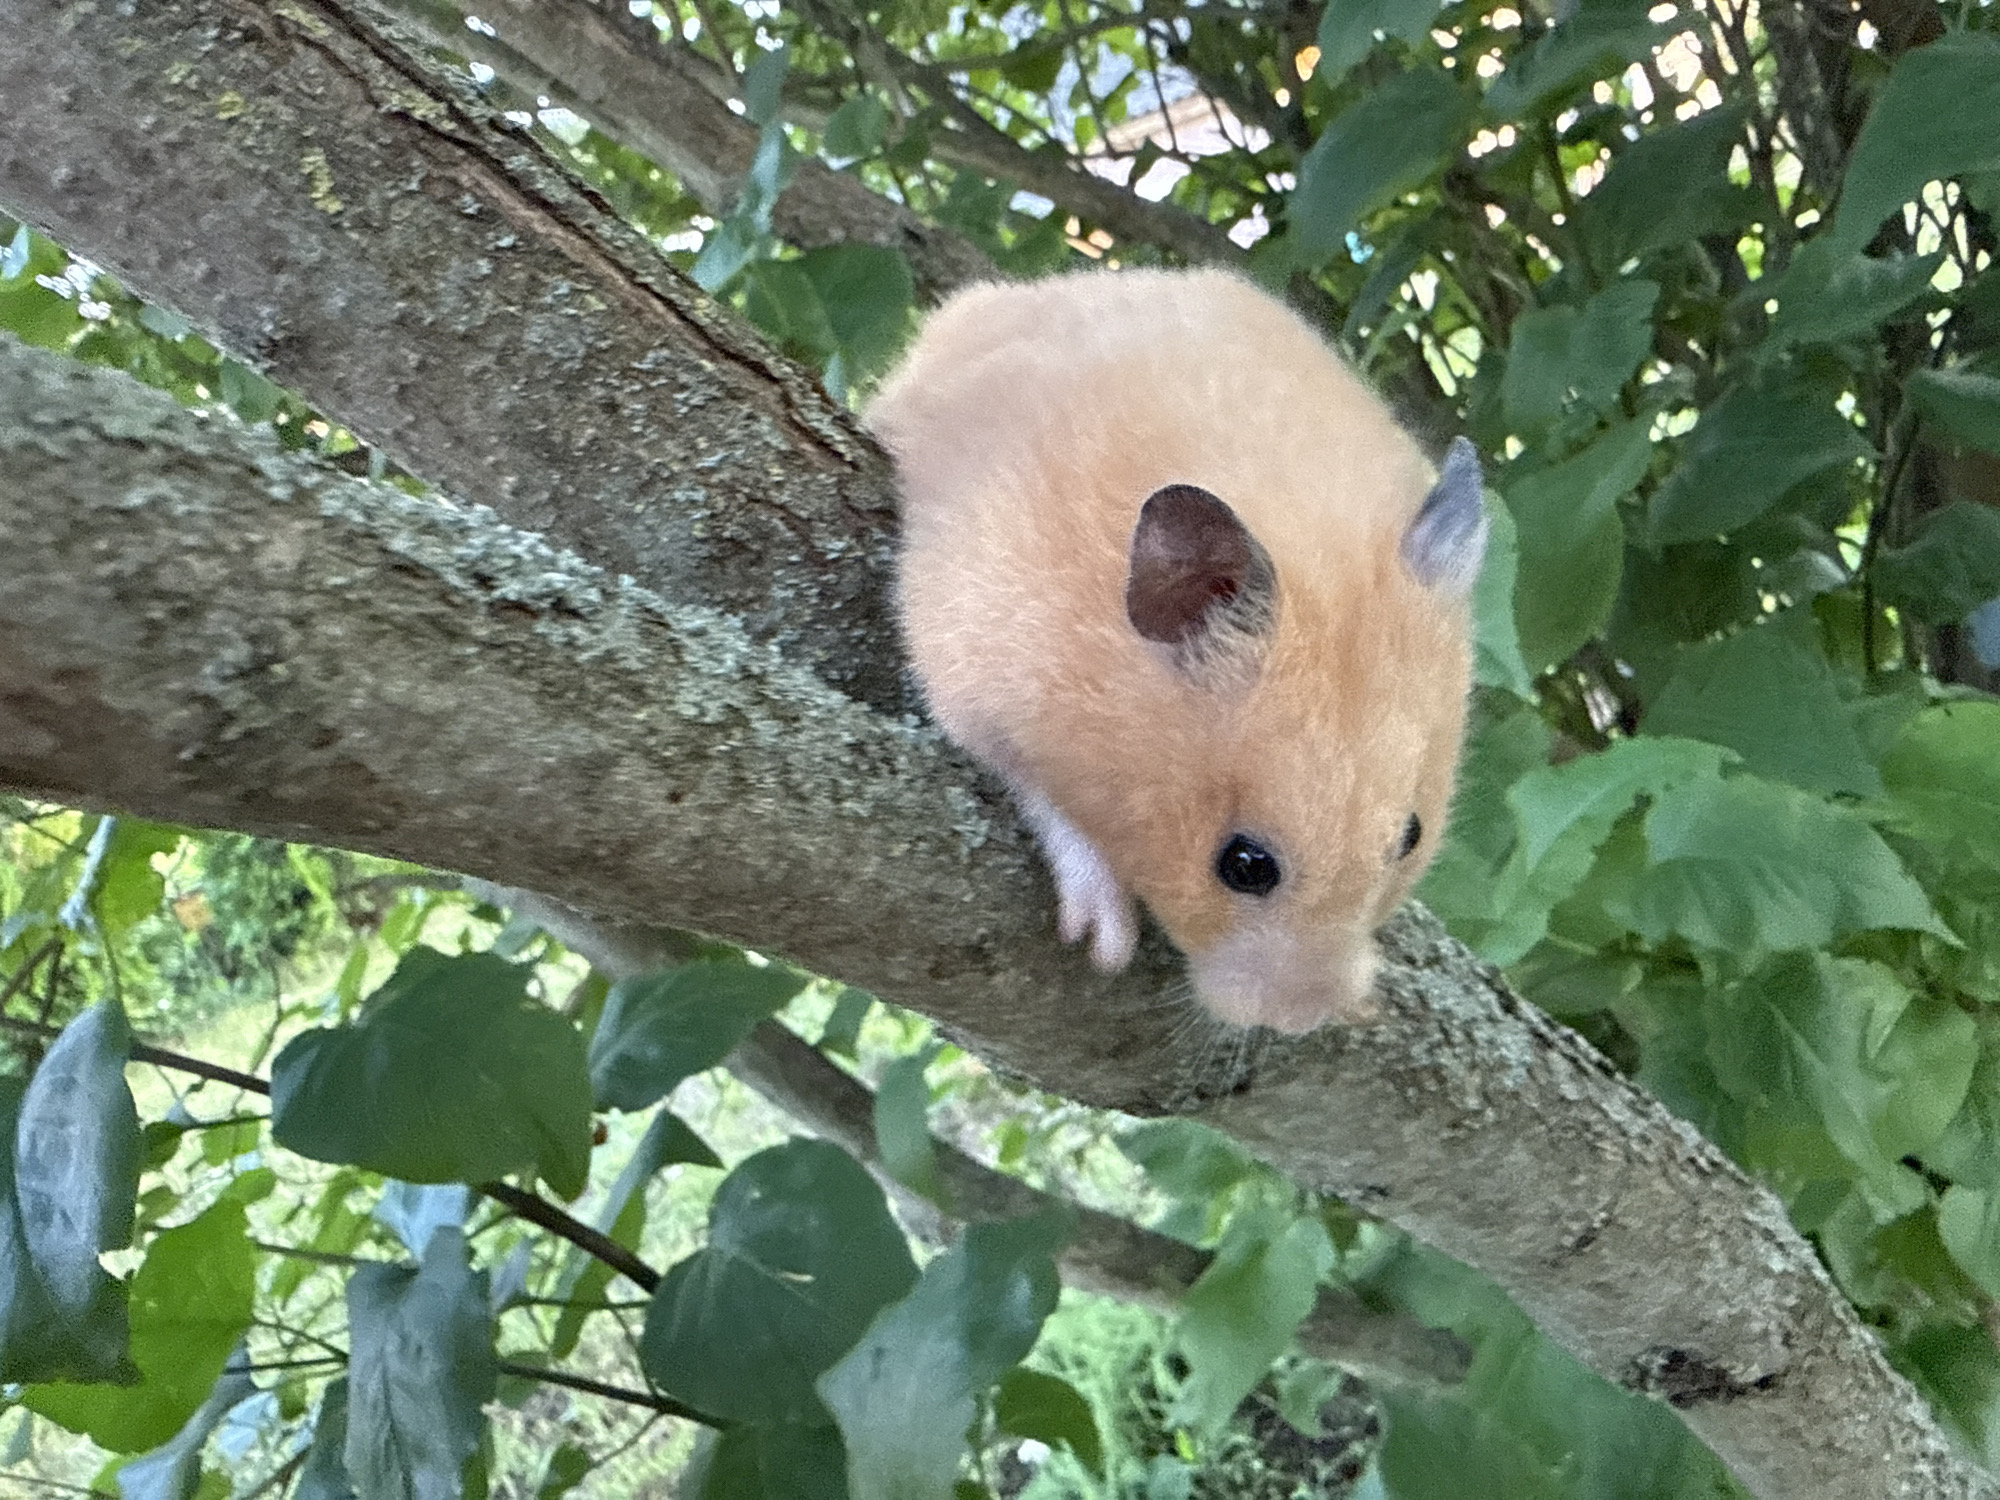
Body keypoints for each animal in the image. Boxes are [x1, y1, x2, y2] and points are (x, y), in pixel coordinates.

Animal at [867, 268, 1486, 1034]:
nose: (1301, 1020)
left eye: (1411, 836)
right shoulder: (970, 668)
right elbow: (1039, 793)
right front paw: (1104, 944)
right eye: (1243, 864)